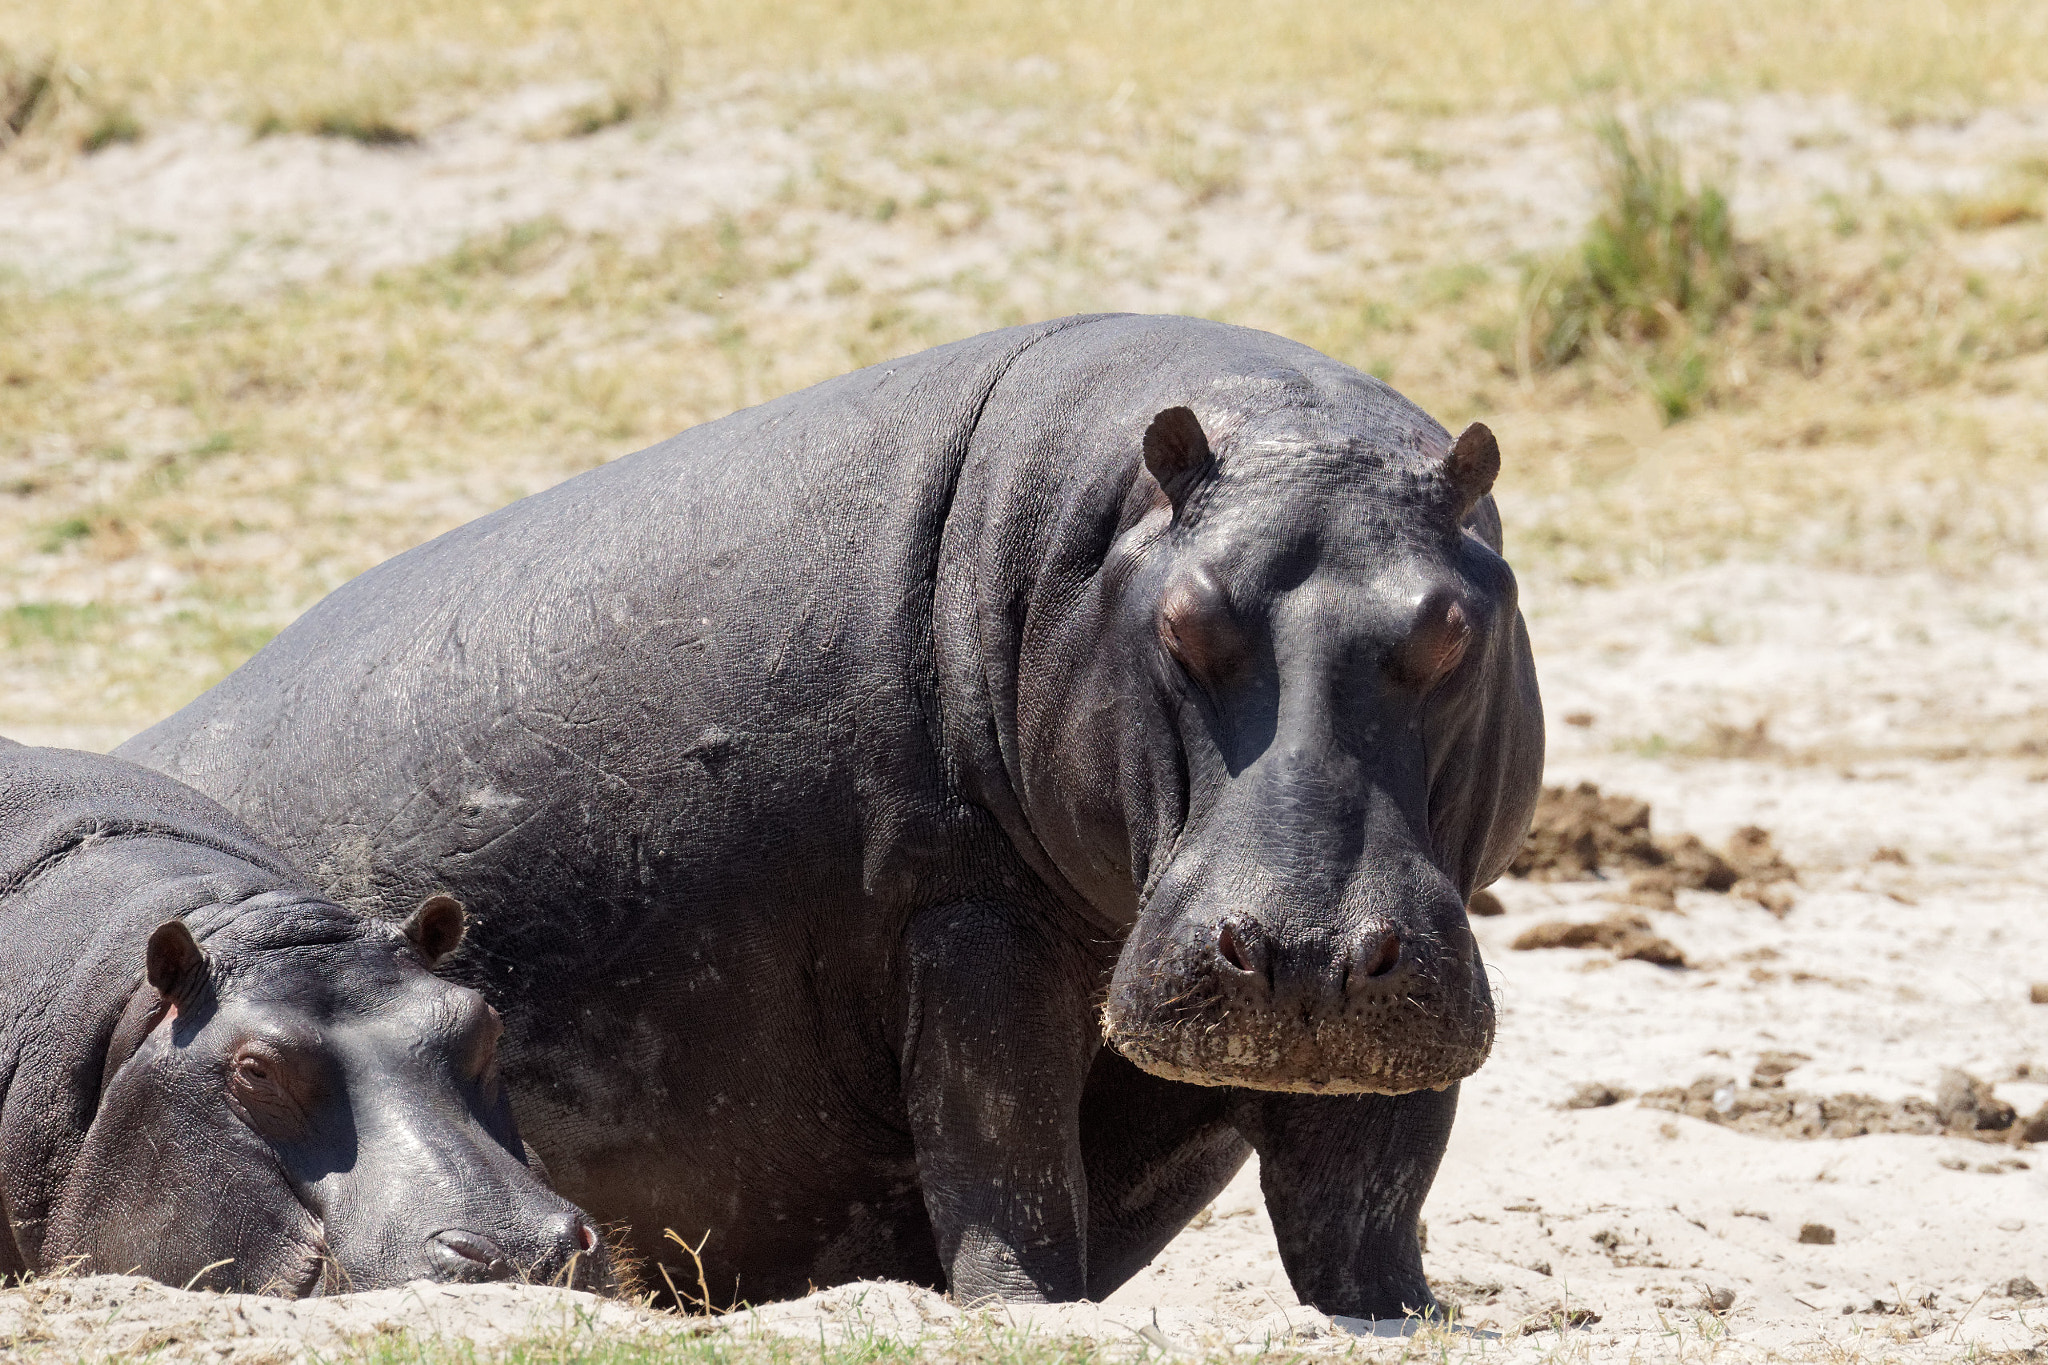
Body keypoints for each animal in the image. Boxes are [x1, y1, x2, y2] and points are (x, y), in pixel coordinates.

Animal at [123, 315, 1540, 1317]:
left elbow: (1365, 1185)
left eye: (1452, 625)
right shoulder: (964, 911)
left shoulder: (1422, 934)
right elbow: (1001, 1145)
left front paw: (1414, 1315)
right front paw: (1028, 1313)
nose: (1300, 952)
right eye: (1185, 621)